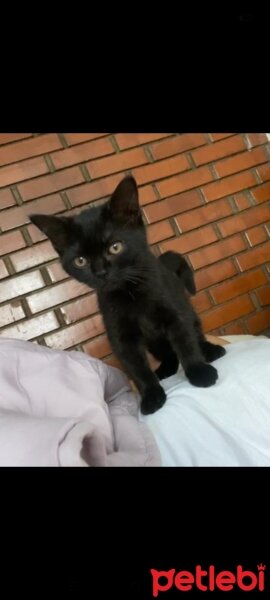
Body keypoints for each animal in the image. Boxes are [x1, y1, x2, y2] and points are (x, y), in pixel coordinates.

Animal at [29, 176, 226, 414]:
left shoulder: (176, 316)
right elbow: (136, 367)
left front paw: (199, 371)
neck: (131, 294)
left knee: (196, 335)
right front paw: (151, 396)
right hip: (154, 344)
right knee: (168, 354)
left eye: (115, 247)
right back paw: (165, 369)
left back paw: (210, 351)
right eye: (80, 261)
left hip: (188, 311)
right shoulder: (120, 336)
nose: (101, 272)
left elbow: (186, 343)